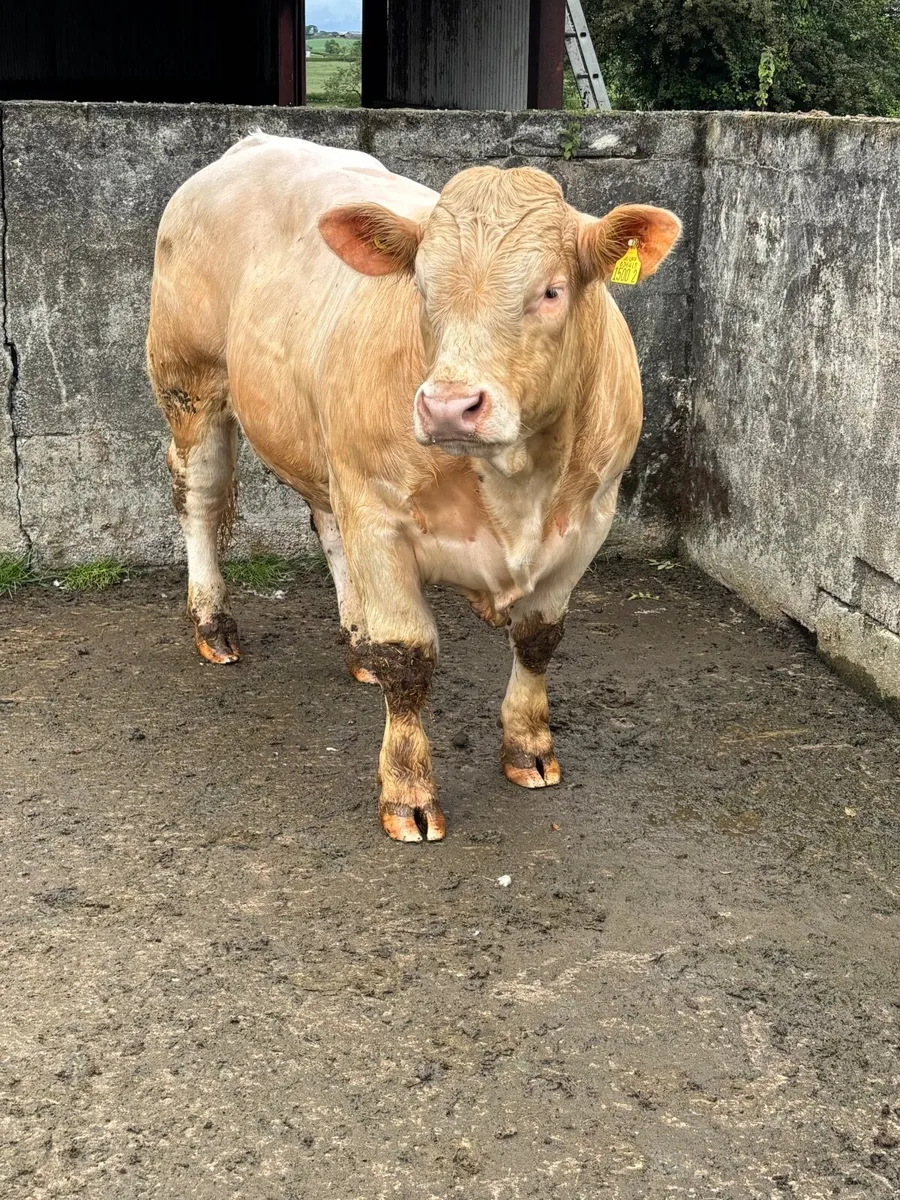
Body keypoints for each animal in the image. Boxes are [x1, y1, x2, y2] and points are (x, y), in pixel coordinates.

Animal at [146, 133, 680, 843]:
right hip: (191, 382)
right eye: (422, 288)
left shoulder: (590, 517)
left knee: (326, 523)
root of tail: (253, 143)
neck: (518, 484)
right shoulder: (379, 514)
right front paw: (407, 790)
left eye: (551, 291)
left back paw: (356, 641)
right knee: (200, 498)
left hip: (322, 439)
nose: (450, 406)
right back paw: (214, 624)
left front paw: (529, 747)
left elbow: (539, 640)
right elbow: (409, 659)